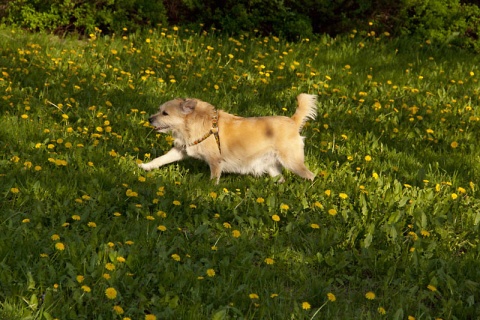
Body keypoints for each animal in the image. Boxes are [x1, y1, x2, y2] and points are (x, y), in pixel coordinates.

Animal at [139, 94, 316, 184]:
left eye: (165, 113)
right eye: (159, 110)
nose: (149, 119)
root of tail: (293, 121)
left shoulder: (215, 161)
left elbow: (213, 179)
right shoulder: (181, 150)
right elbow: (161, 159)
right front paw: (145, 166)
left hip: (292, 162)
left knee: (311, 175)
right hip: (272, 166)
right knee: (281, 179)